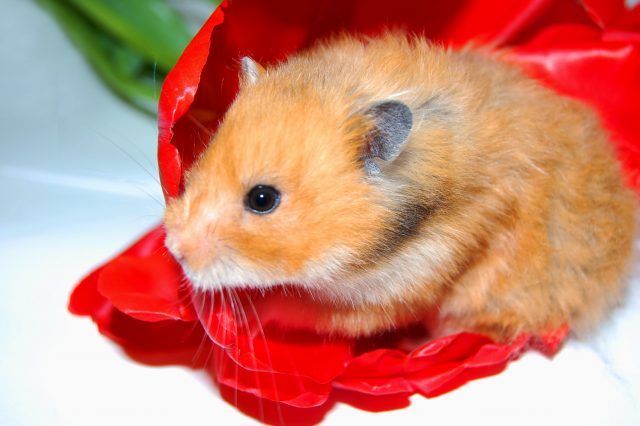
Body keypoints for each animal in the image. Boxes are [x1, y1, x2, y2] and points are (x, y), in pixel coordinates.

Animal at [163, 33, 636, 342]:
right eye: (202, 158)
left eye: (263, 199)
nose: (174, 250)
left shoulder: (401, 291)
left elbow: (304, 310)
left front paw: (245, 317)